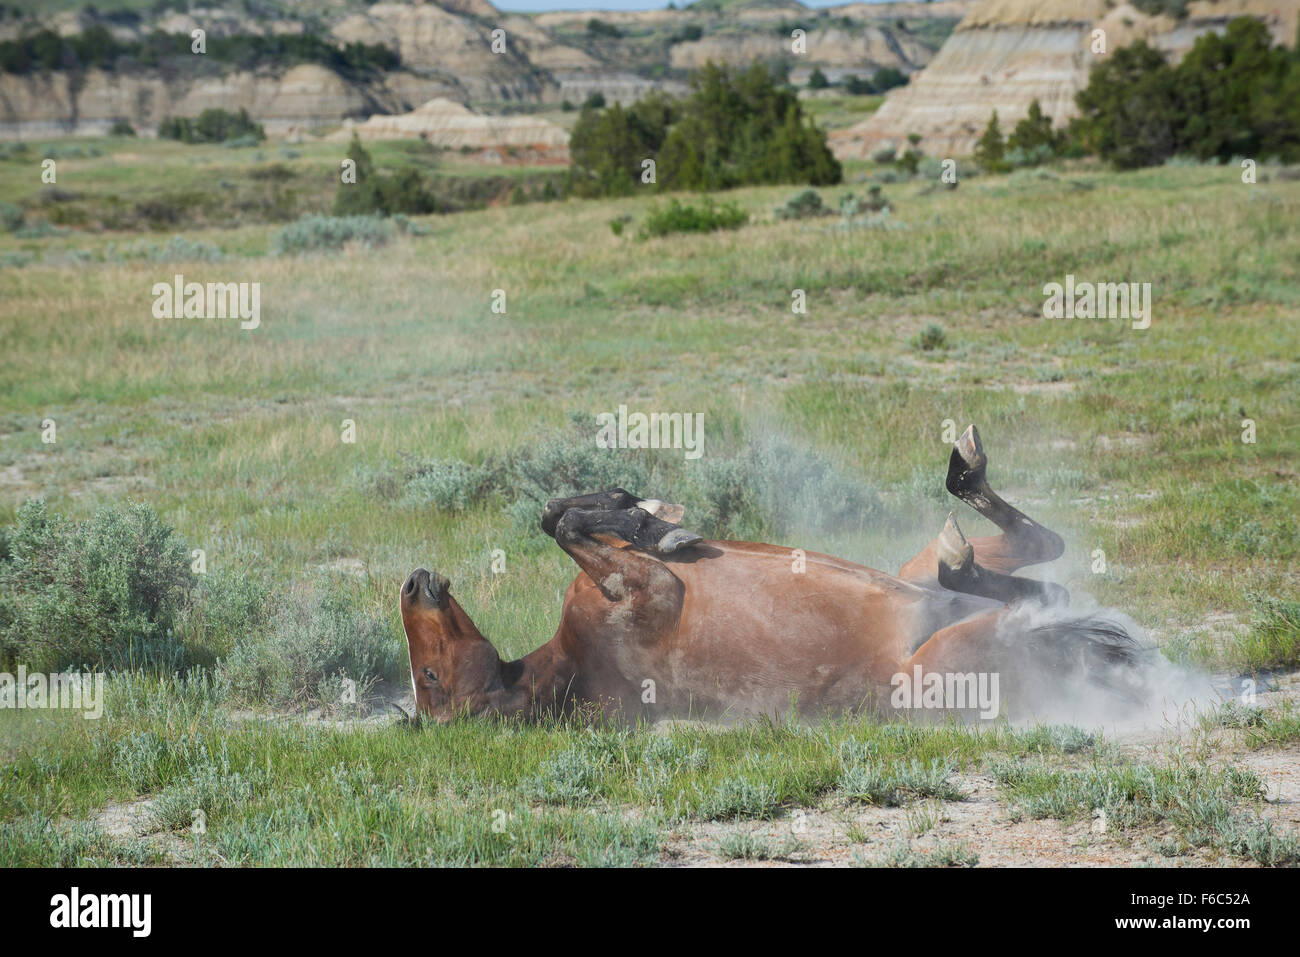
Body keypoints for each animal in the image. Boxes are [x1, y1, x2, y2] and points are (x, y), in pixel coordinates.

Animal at [397, 429, 1149, 722]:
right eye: (430, 677)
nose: (412, 583)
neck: (577, 663)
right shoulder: (650, 592)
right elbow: (565, 526)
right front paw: (659, 521)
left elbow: (558, 513)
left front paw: (645, 510)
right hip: (953, 647)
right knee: (1032, 591)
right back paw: (963, 550)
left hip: (916, 575)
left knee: (1040, 551)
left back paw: (965, 473)